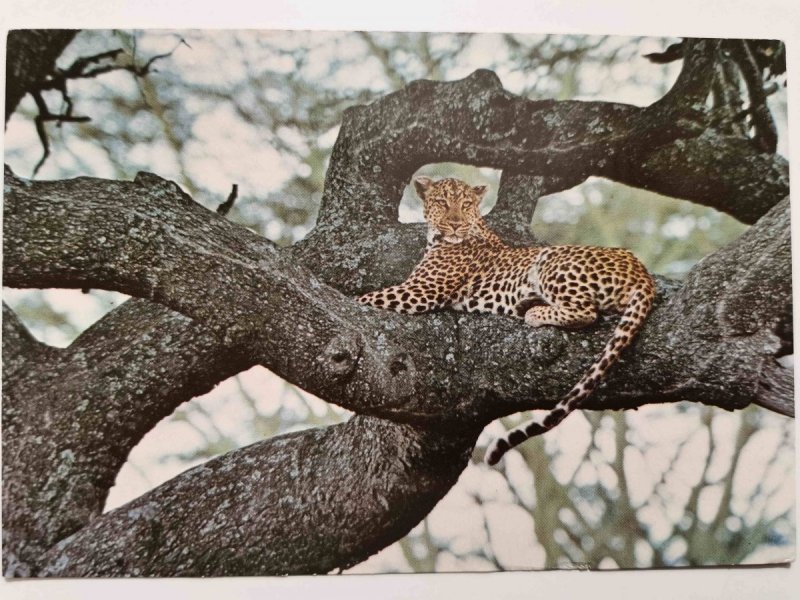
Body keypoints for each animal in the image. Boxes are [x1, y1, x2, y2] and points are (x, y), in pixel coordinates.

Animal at [358, 176, 656, 466]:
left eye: (466, 204)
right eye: (442, 202)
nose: (455, 224)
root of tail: (641, 270)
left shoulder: (420, 290)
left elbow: (363, 298)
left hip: (550, 259)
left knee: (586, 311)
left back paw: (533, 311)